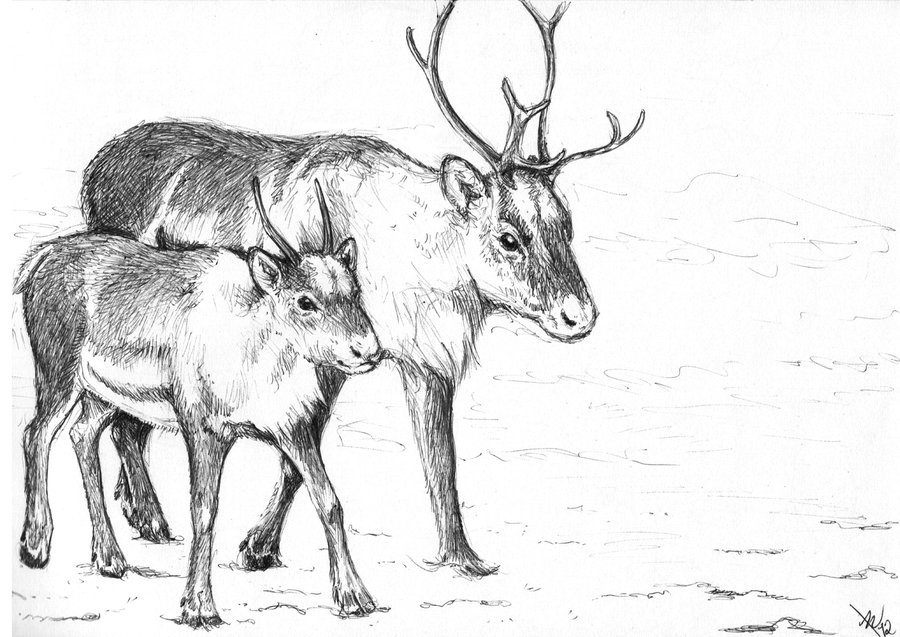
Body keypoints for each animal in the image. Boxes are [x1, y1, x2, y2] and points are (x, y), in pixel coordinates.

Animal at [16, 178, 383, 625]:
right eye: (304, 300)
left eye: (354, 289)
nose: (367, 350)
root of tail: (38, 261)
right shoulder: (202, 425)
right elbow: (204, 510)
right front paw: (199, 607)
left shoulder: (292, 425)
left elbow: (329, 500)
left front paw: (355, 597)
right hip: (58, 372)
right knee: (36, 433)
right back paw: (36, 547)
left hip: (103, 395)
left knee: (82, 433)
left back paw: (110, 558)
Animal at [76, 0, 644, 579]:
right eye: (509, 236)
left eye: (566, 224)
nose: (579, 314)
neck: (416, 254)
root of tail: (95, 168)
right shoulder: (335, 352)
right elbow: (304, 453)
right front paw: (257, 547)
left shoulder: (420, 361)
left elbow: (439, 462)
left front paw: (463, 556)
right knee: (123, 421)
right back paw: (148, 520)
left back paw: (138, 513)